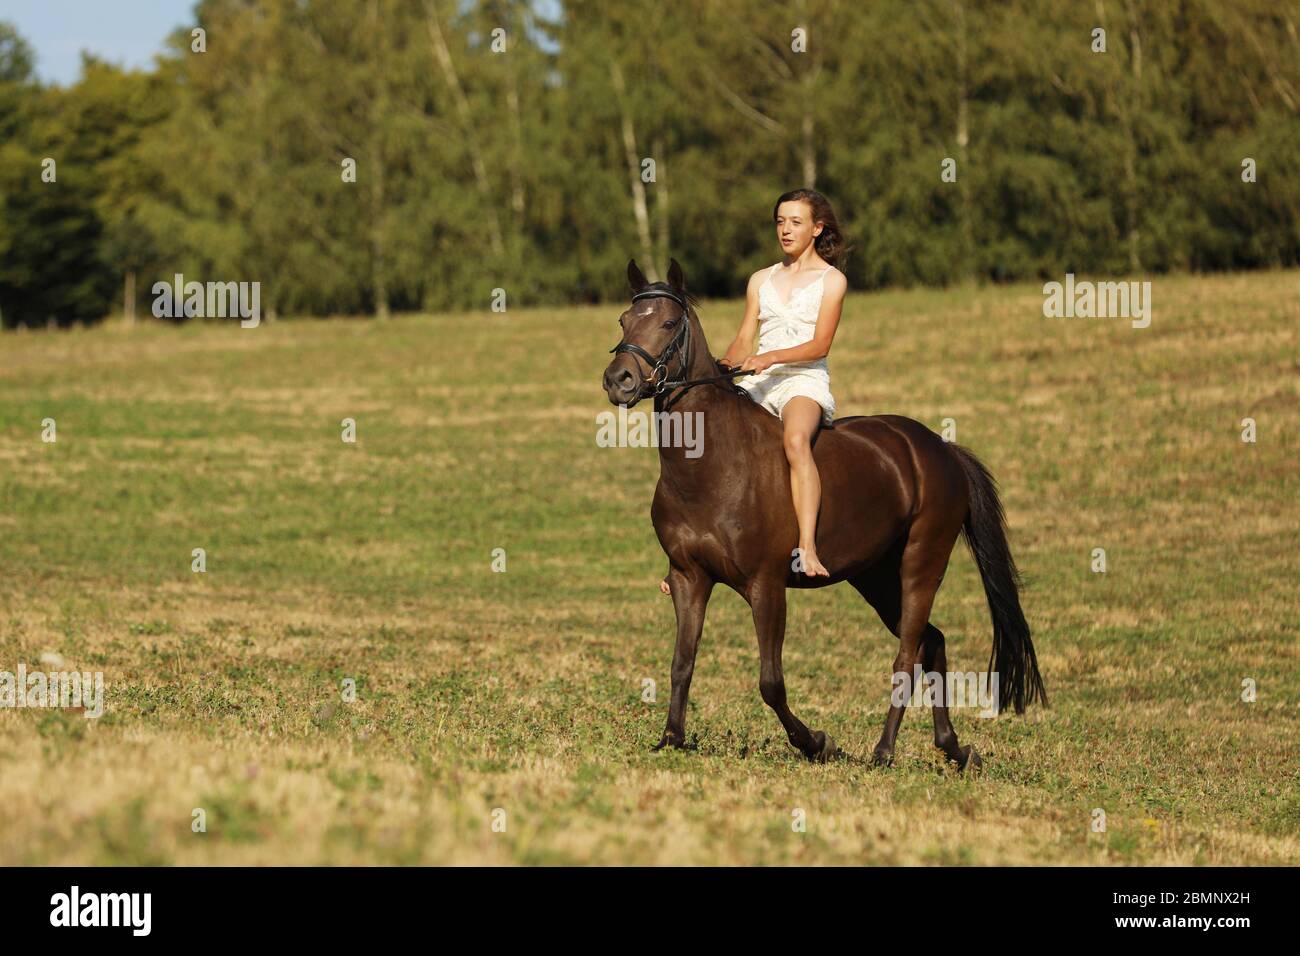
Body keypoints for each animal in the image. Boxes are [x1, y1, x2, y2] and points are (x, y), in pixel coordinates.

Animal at [600, 260, 1045, 770]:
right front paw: (671, 738)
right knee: (932, 643)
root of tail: (941, 448)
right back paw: (953, 748)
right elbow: (682, 663)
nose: (618, 380)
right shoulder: (688, 577)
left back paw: (884, 751)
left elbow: (770, 682)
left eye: (670, 323)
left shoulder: (767, 585)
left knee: (907, 654)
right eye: (623, 321)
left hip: (920, 567)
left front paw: (816, 742)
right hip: (875, 577)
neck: (709, 465)